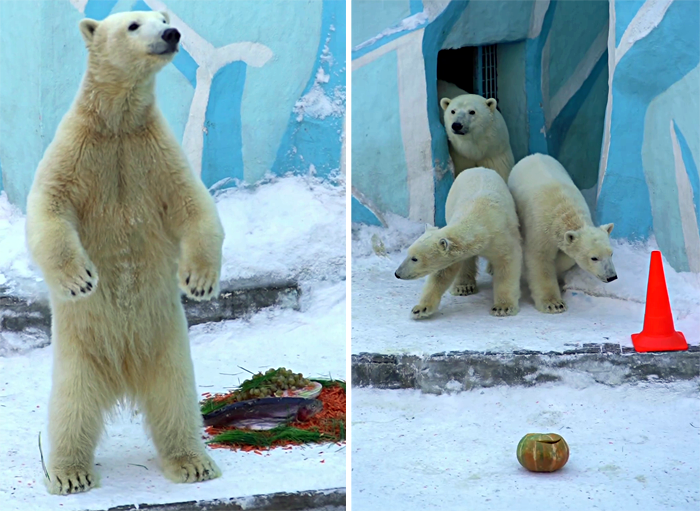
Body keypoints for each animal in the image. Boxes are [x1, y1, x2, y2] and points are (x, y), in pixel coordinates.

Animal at [26, 10, 224, 494]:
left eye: (164, 17)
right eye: (135, 24)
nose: (171, 33)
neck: (116, 122)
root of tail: (124, 373)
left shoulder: (154, 153)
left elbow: (194, 205)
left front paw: (199, 281)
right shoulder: (78, 150)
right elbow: (49, 208)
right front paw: (80, 279)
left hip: (168, 345)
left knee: (176, 400)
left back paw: (193, 462)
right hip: (79, 353)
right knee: (71, 407)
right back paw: (70, 472)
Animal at [396, 168, 524, 320]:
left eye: (415, 258)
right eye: (408, 254)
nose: (397, 274)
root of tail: (478, 168)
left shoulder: (502, 236)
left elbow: (507, 264)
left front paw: (502, 308)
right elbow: (442, 274)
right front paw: (420, 309)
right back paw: (463, 287)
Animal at [508, 152, 616, 314]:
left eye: (611, 253)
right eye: (594, 258)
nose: (612, 277)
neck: (565, 212)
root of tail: (534, 154)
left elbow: (567, 257)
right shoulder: (540, 229)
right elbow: (540, 259)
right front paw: (554, 304)